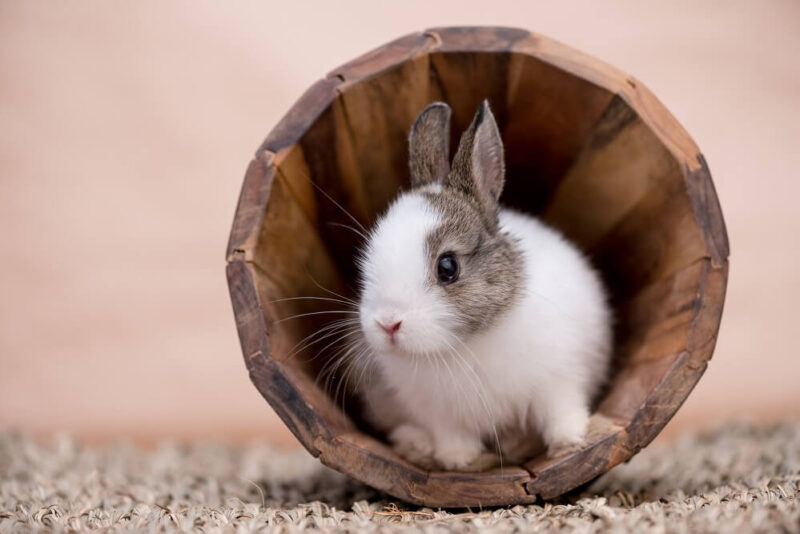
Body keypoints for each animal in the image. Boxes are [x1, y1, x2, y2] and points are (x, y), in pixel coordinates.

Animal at [354, 100, 608, 474]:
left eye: (447, 267)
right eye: (368, 256)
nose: (388, 323)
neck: (461, 345)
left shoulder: (559, 379)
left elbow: (560, 410)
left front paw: (569, 442)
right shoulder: (439, 414)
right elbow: (453, 438)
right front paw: (459, 460)